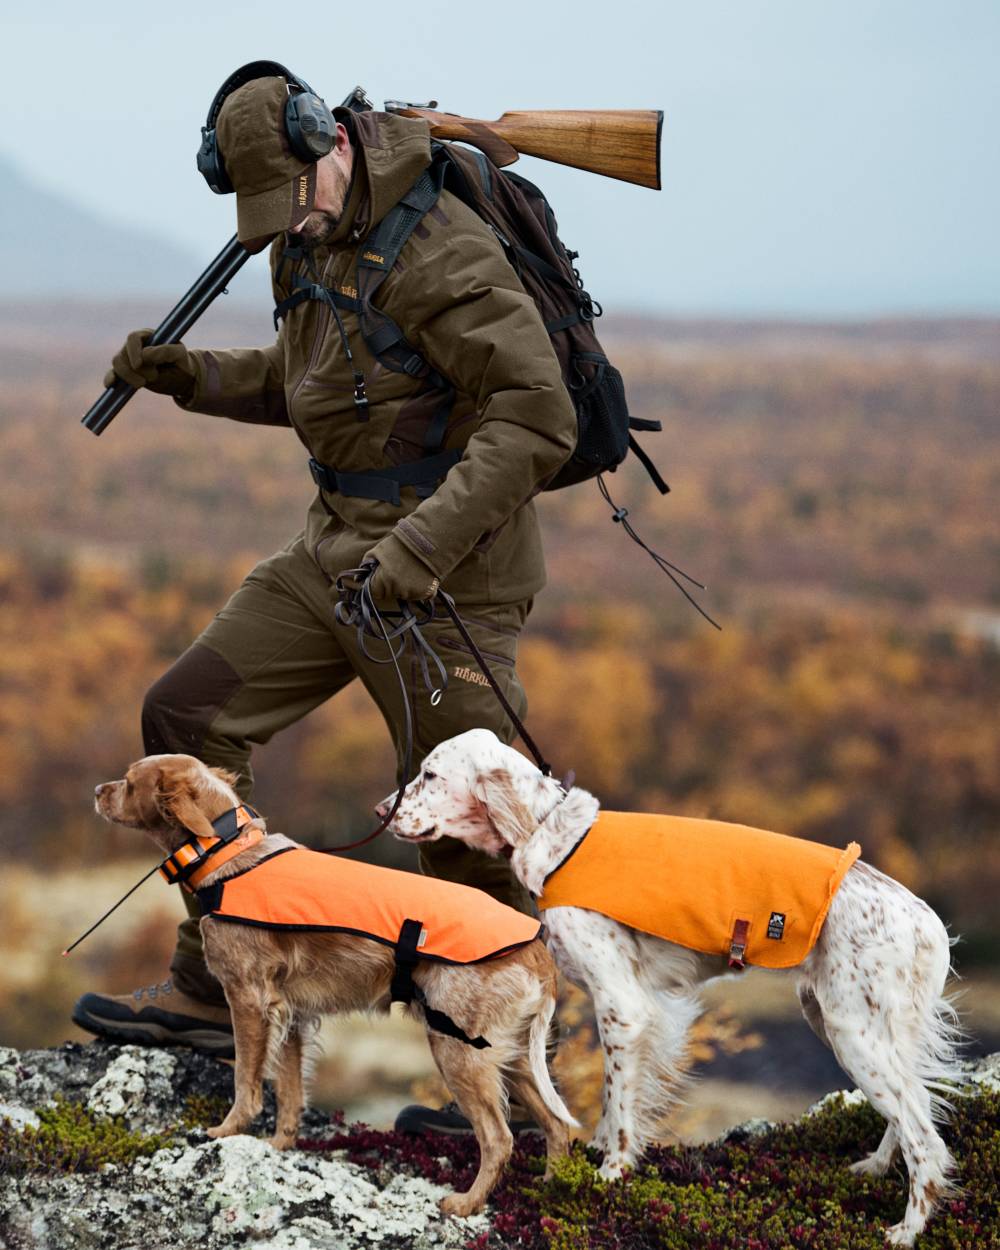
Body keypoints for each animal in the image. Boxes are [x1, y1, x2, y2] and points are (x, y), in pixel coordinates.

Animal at [95, 750, 577, 1210]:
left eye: (129, 781)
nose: (98, 790)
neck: (226, 853)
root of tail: (537, 948)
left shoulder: (248, 1000)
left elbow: (246, 1082)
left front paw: (226, 1131)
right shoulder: (290, 1016)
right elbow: (290, 1092)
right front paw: (279, 1145)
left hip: (458, 1048)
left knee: (499, 1137)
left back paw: (466, 1203)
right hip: (513, 1056)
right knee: (556, 1125)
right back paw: (550, 1191)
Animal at [380, 730, 965, 1245]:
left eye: (429, 774)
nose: (381, 810)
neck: (555, 834)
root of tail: (927, 922)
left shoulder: (621, 1004)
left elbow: (617, 1102)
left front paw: (610, 1173)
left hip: (852, 1031)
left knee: (924, 1136)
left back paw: (907, 1230)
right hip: (846, 1022)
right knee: (912, 1106)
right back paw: (875, 1167)